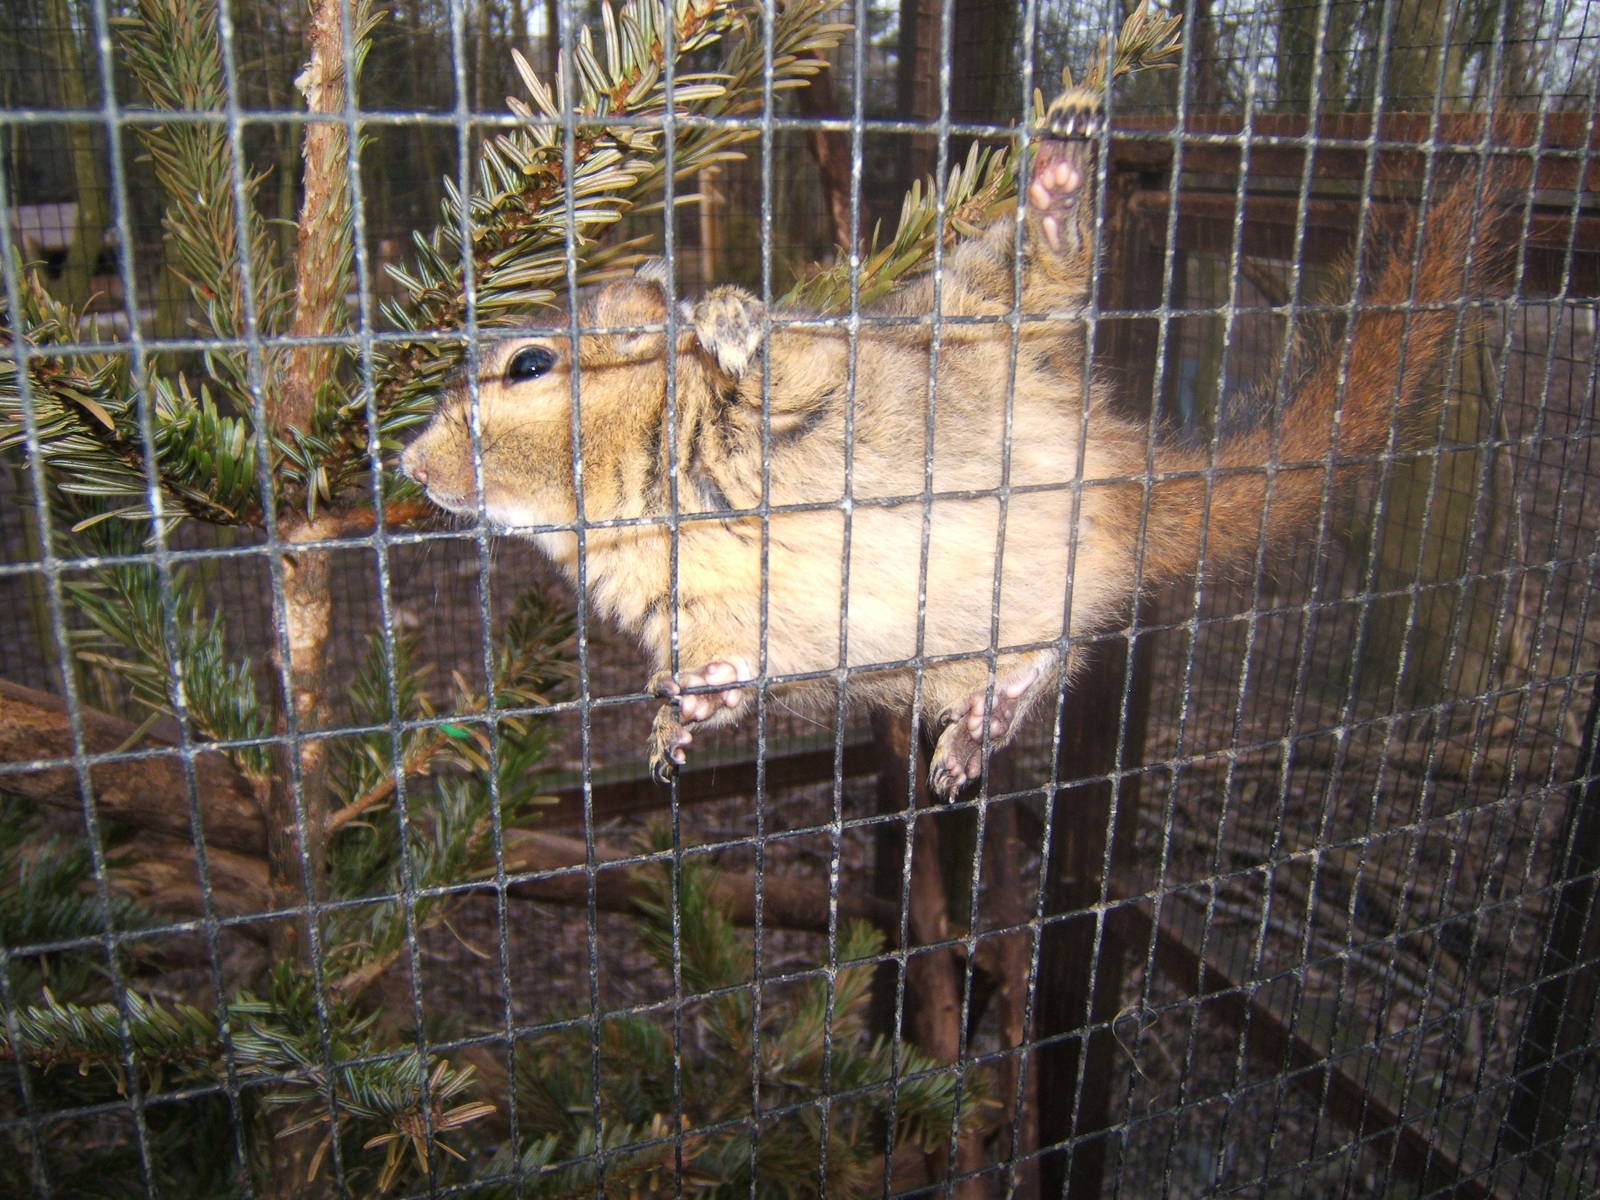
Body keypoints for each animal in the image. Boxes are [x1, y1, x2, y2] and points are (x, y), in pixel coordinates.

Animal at [400, 89, 1505, 799]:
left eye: (529, 365)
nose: (407, 465)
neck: (641, 502)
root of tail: (1114, 484)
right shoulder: (701, 620)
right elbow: (730, 670)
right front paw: (686, 717)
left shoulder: (818, 383)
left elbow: (781, 366)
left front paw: (730, 324)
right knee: (1045, 654)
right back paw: (983, 727)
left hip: (982, 326)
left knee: (1044, 276)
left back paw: (1057, 183)